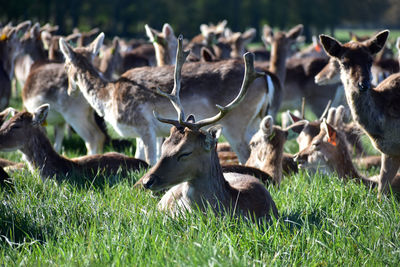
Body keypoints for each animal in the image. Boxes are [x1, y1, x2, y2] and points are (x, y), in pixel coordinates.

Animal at [59, 33, 272, 165]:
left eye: (66, 63)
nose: (69, 90)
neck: (110, 98)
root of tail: (265, 79)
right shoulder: (139, 134)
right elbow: (138, 157)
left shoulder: (145, 126)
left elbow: (150, 160)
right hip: (255, 120)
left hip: (235, 123)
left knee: (245, 154)